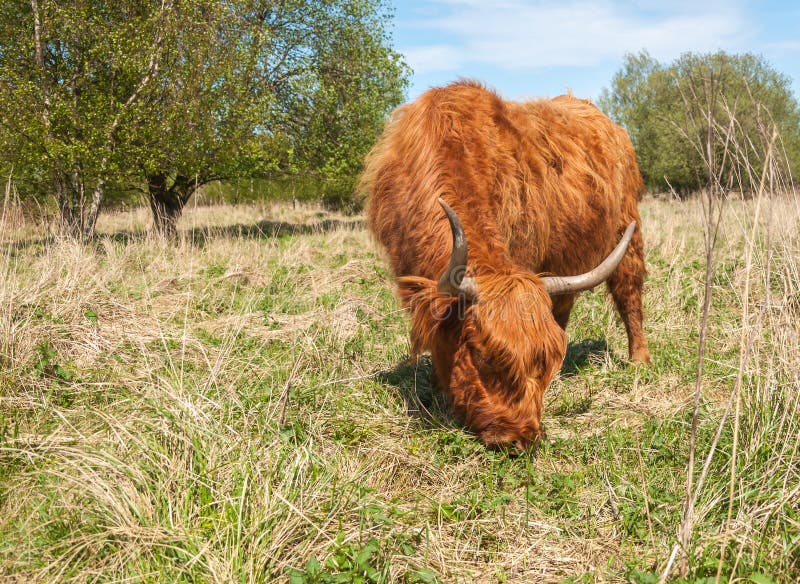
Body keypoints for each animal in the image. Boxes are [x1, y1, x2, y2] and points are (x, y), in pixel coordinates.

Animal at [360, 81, 649, 450]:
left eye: (541, 363)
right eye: (483, 355)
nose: (521, 437)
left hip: (628, 230)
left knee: (629, 294)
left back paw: (639, 360)